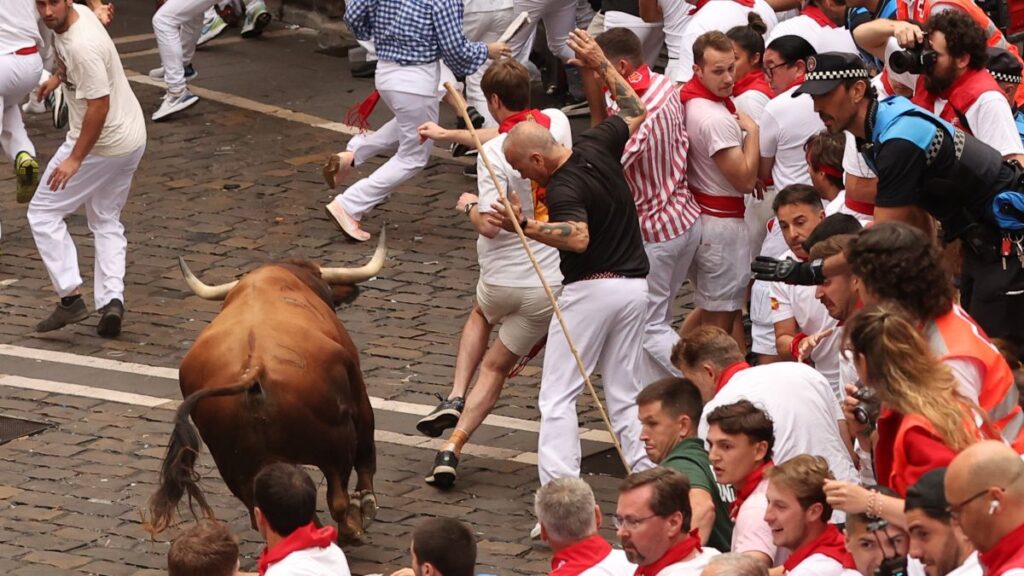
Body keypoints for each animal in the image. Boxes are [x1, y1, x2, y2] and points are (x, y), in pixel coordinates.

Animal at [149, 228, 389, 537]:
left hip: (236, 466)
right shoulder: (358, 391)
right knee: (337, 496)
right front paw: (366, 504)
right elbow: (367, 451)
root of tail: (255, 369)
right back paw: (351, 526)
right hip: (336, 443)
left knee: (260, 511)